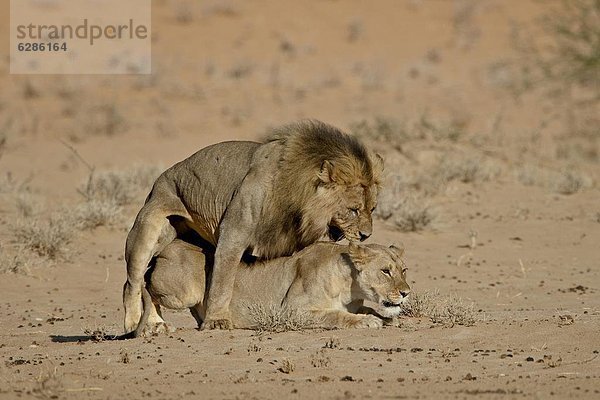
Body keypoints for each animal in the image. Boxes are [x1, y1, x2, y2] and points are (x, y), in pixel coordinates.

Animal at [123, 120, 382, 332]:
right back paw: (138, 324)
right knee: (133, 282)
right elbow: (222, 281)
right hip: (148, 232)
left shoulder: (292, 243)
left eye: (373, 209)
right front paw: (217, 321)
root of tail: (164, 175)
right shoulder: (233, 233)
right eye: (354, 209)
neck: (298, 199)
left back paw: (157, 325)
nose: (366, 235)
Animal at [132, 238, 408, 334]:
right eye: (385, 271)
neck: (350, 287)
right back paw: (156, 325)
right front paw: (367, 321)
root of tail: (166, 246)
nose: (406, 293)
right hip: (183, 292)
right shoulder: (292, 310)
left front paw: (389, 318)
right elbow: (334, 315)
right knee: (146, 287)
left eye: (403, 270)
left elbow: (371, 309)